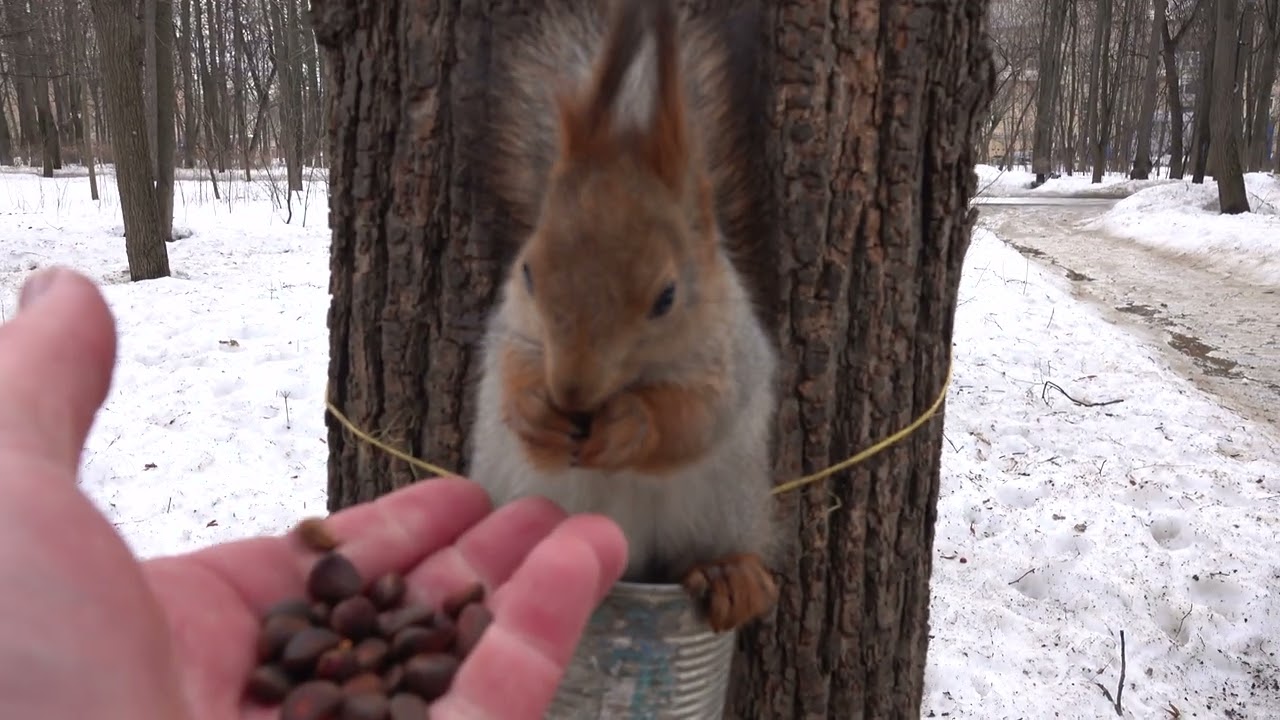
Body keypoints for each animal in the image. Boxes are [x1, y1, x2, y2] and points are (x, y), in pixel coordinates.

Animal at [468, 0, 779, 633]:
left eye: (667, 296)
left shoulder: (733, 357)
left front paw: (632, 425)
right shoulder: (513, 333)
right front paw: (536, 410)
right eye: (528, 272)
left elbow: (697, 414)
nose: (572, 390)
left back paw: (730, 573)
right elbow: (511, 377)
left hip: (726, 502)